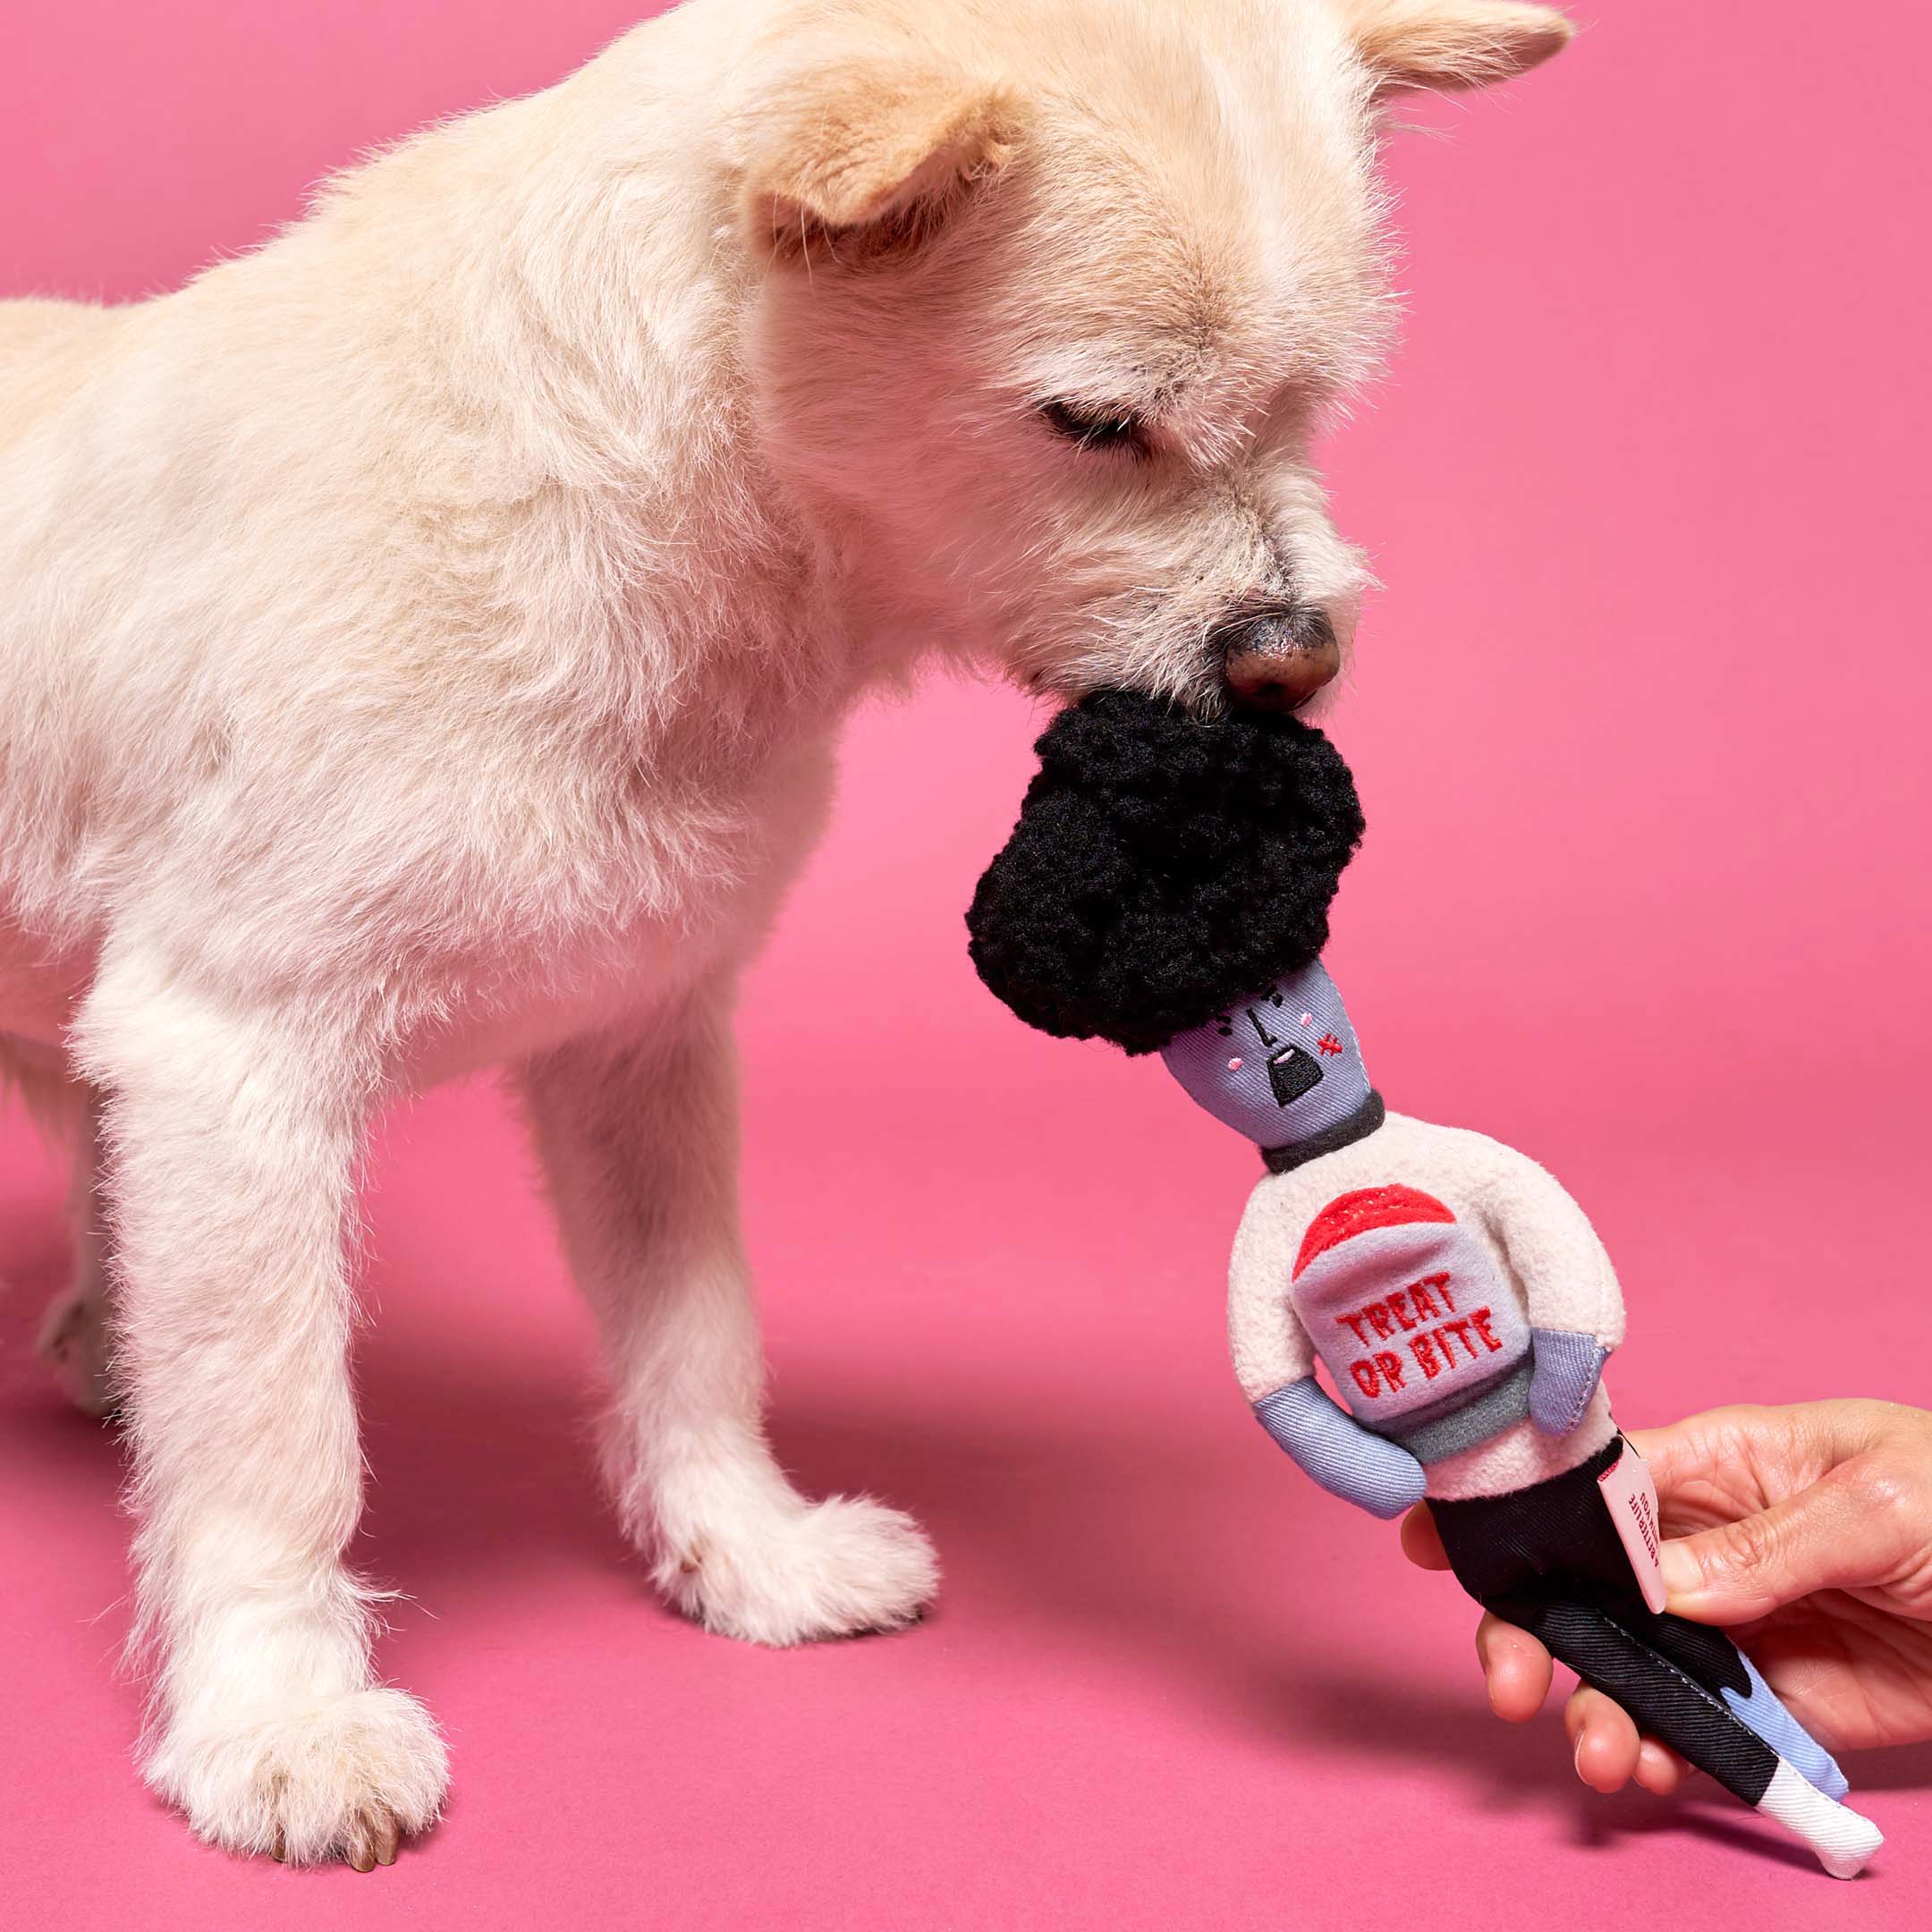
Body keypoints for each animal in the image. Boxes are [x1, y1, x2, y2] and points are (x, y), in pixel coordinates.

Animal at [0, 0, 1568, 1869]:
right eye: (1094, 422)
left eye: (1311, 402)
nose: (1293, 660)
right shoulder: (236, 1067)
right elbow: (273, 1441)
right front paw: (277, 1718)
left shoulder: (644, 1047)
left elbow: (693, 1339)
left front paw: (745, 1555)